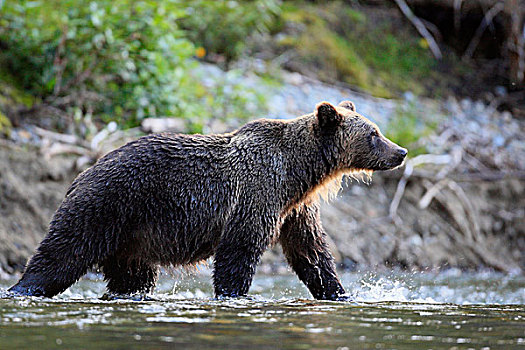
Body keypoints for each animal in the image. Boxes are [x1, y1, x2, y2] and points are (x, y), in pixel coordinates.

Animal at [10, 101, 408, 300]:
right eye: (374, 133)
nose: (401, 151)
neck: (299, 172)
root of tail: (81, 173)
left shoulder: (295, 208)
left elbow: (311, 251)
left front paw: (338, 292)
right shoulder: (258, 193)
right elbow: (240, 249)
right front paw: (234, 294)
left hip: (132, 238)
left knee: (133, 276)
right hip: (109, 204)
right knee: (64, 251)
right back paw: (23, 288)